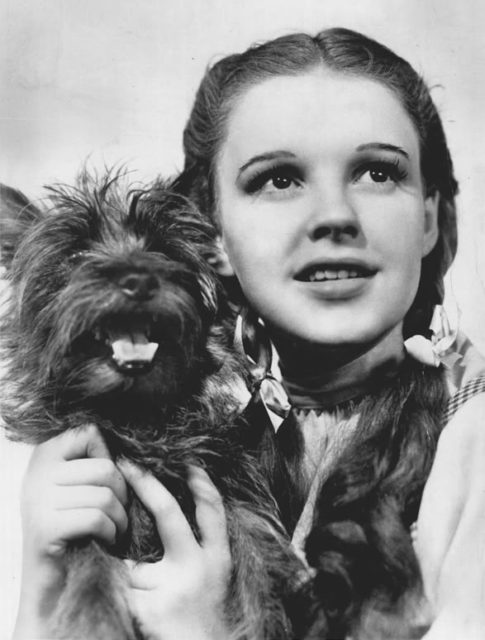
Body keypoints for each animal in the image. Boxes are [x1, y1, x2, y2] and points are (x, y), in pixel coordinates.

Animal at [0, 171, 304, 640]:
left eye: (161, 248)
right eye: (77, 253)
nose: (140, 279)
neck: (141, 419)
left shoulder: (240, 503)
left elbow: (263, 574)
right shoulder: (91, 507)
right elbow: (91, 574)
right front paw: (96, 622)